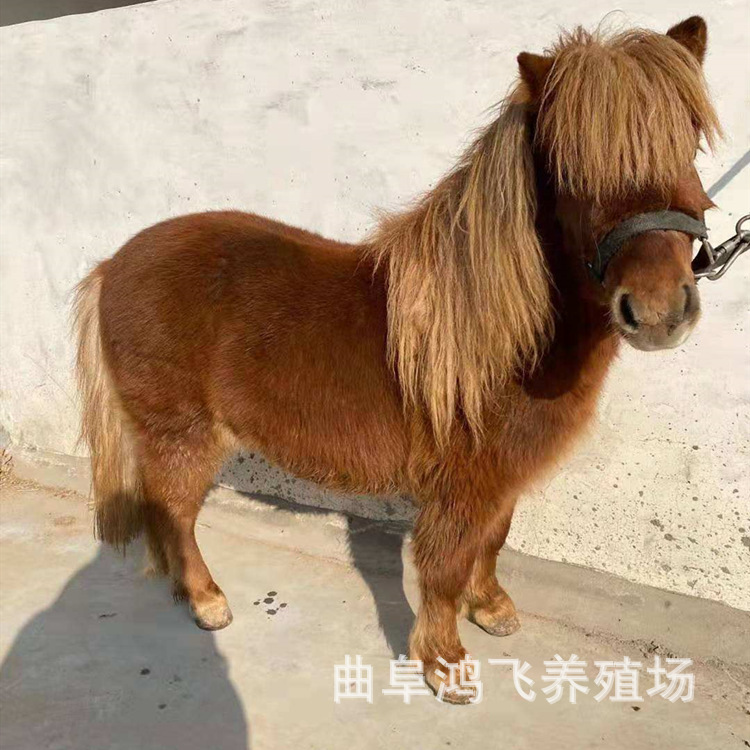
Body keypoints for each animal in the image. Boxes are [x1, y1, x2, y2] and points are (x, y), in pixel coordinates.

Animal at [74, 17, 719, 702]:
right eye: (572, 168)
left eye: (689, 141)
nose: (659, 309)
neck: (498, 335)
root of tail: (113, 265)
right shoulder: (464, 483)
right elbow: (446, 565)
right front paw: (445, 664)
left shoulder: (500, 478)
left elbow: (493, 540)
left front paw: (490, 607)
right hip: (181, 434)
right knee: (174, 510)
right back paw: (206, 600)